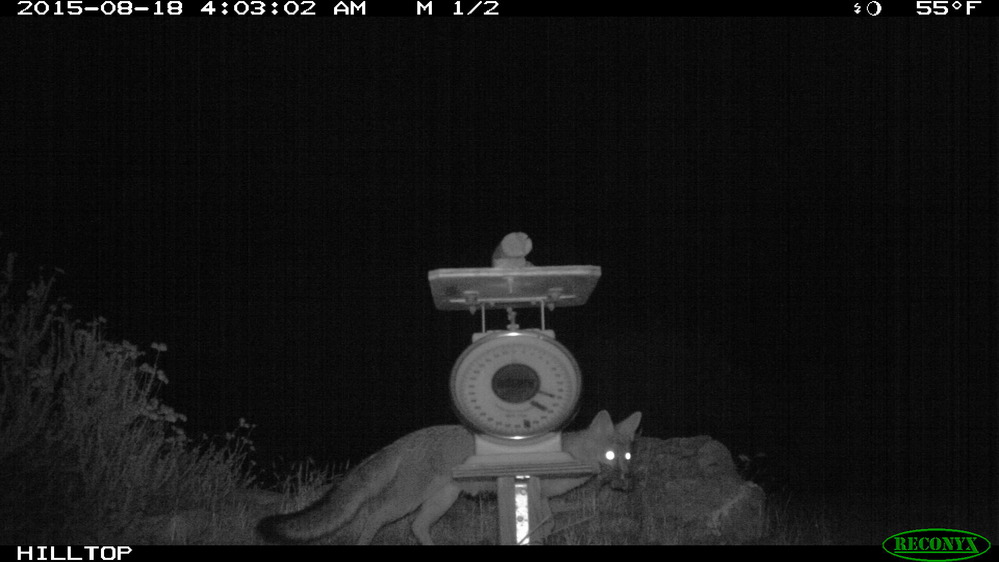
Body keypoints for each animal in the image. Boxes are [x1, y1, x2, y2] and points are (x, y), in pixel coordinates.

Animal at [257, 410, 642, 545]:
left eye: (626, 457)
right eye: (611, 457)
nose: (626, 480)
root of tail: (409, 438)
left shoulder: (539, 495)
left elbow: (548, 524)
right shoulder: (534, 491)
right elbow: (544, 524)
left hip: (442, 500)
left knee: (417, 527)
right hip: (406, 501)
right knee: (371, 514)